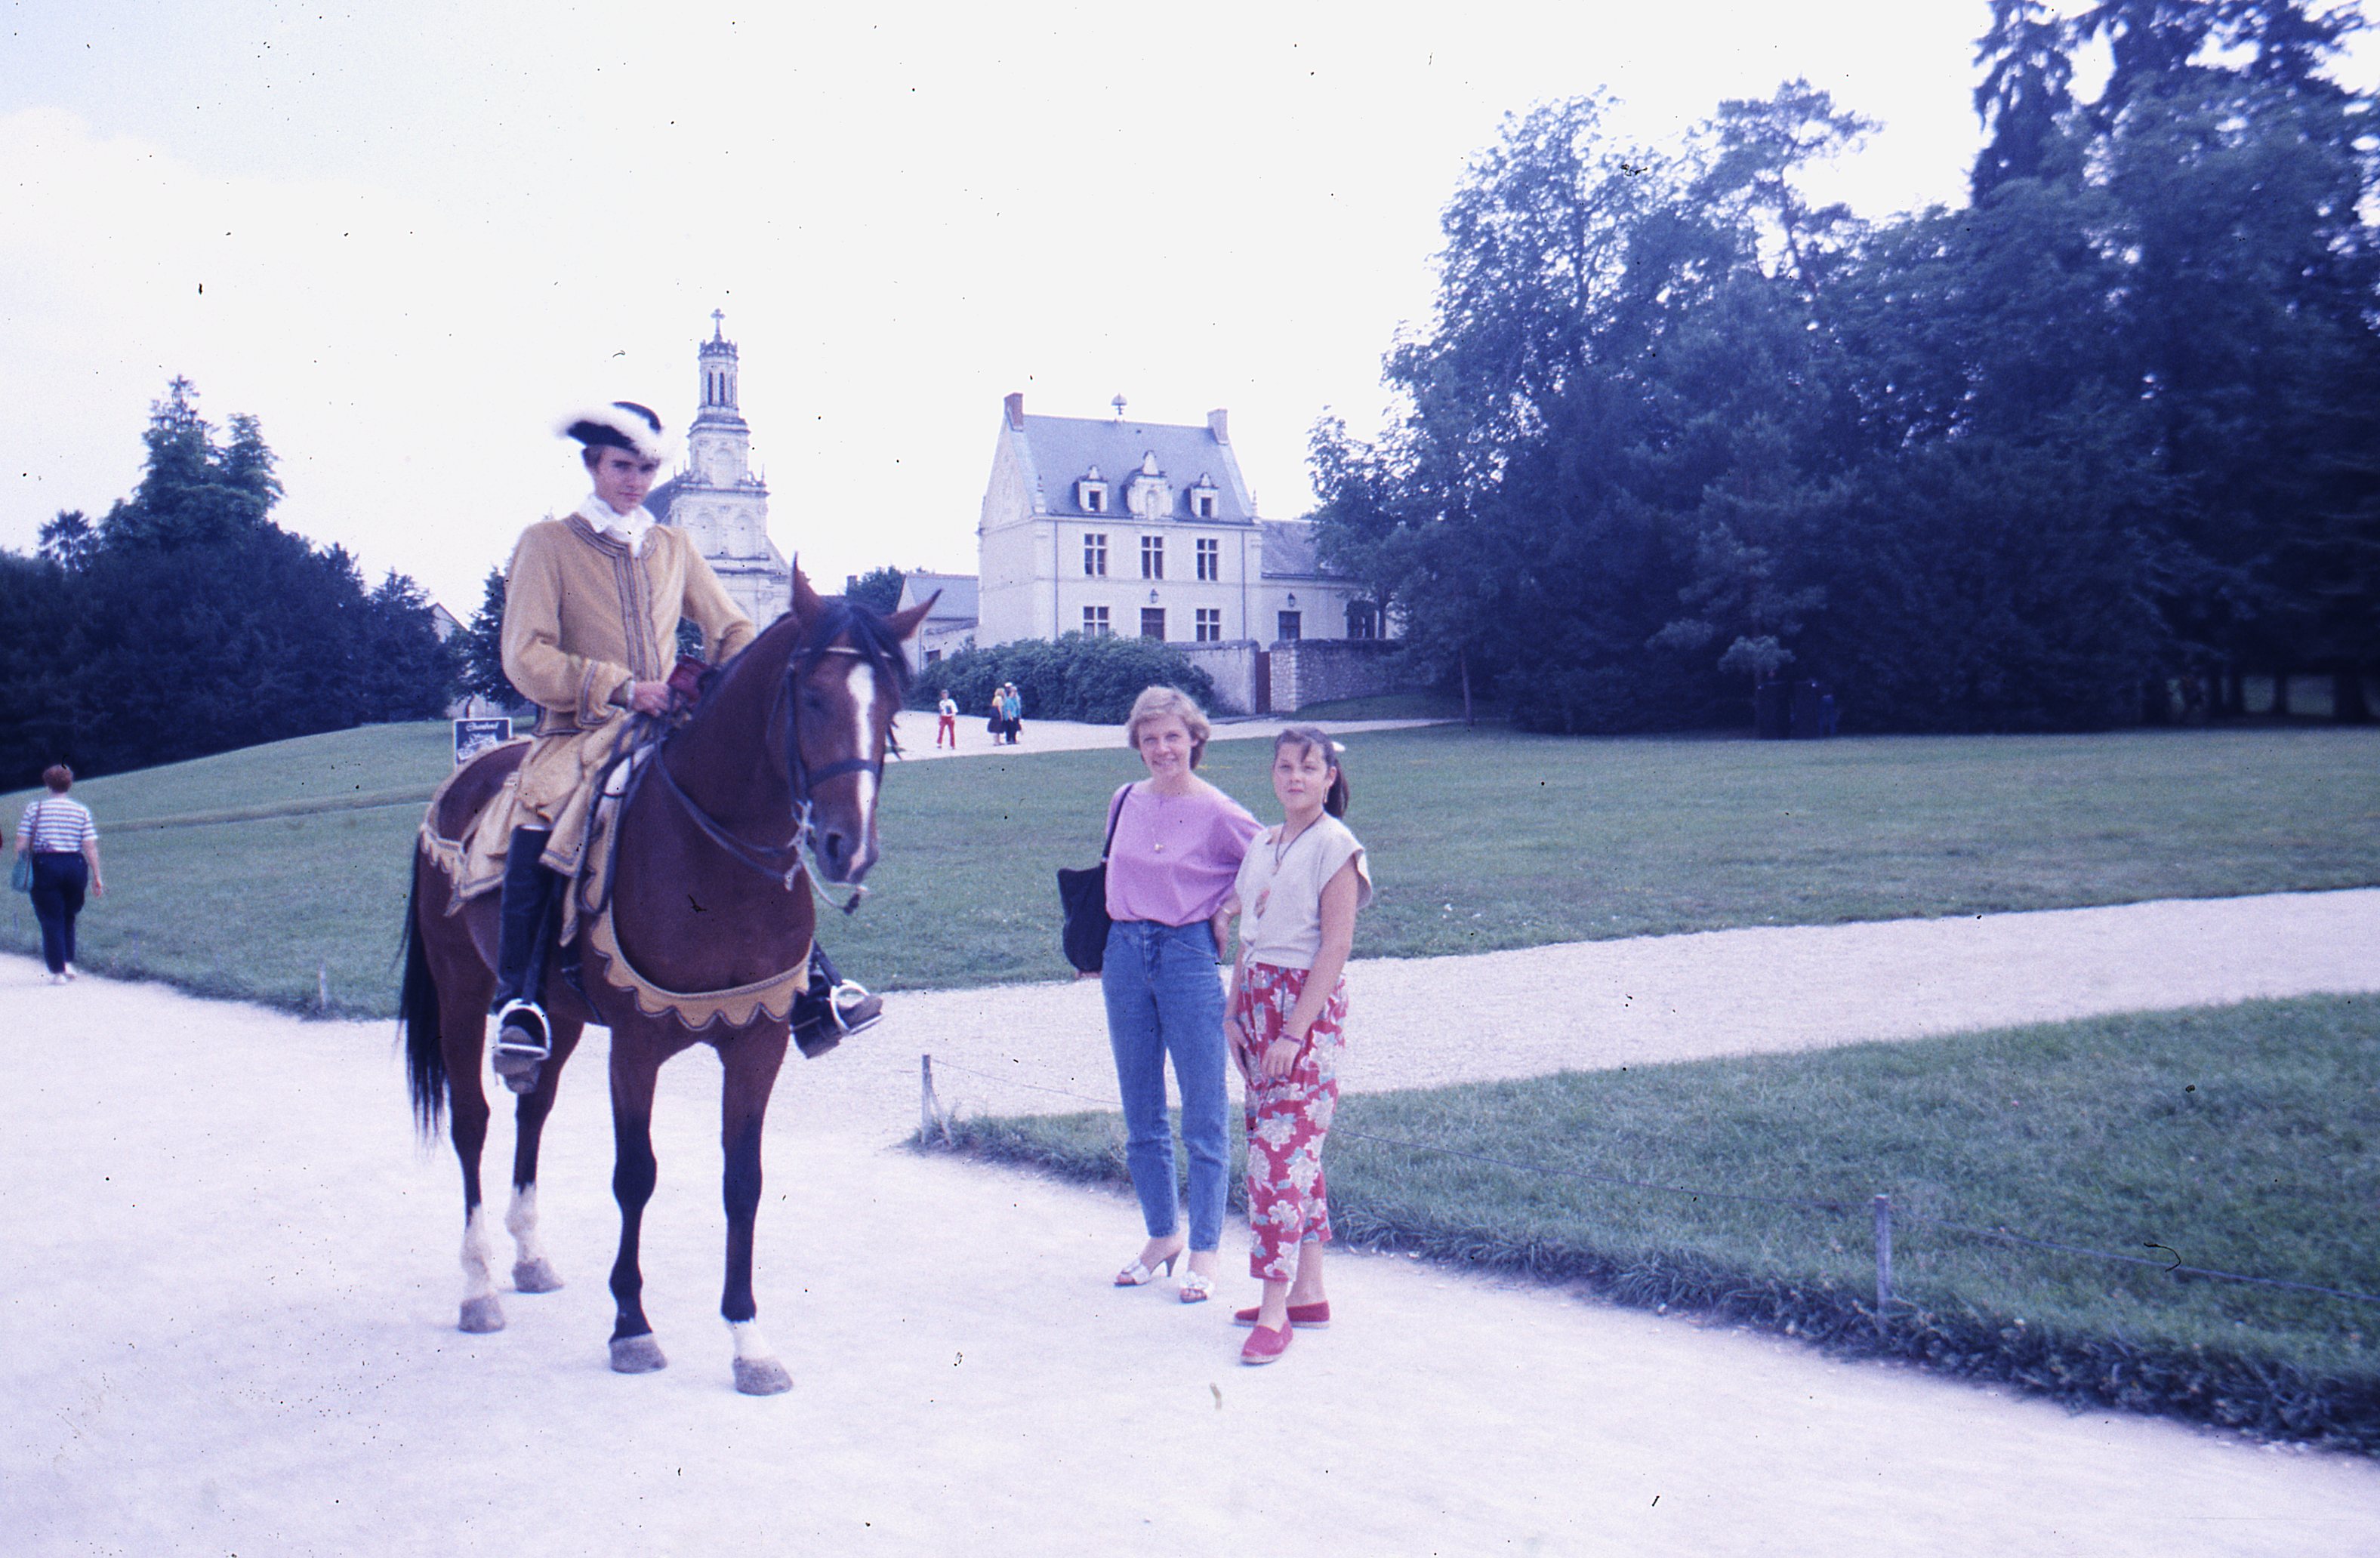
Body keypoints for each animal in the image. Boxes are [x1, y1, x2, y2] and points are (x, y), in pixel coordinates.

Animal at [398, 568, 931, 1394]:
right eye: (811, 696)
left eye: (893, 703)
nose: (850, 848)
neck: (716, 859)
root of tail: (466, 780)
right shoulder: (637, 1045)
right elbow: (635, 1175)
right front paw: (631, 1326)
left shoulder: (757, 1042)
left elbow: (742, 1180)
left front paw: (748, 1340)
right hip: (460, 990)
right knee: (472, 1121)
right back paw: (479, 1284)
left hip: (559, 1014)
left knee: (532, 1109)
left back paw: (529, 1254)